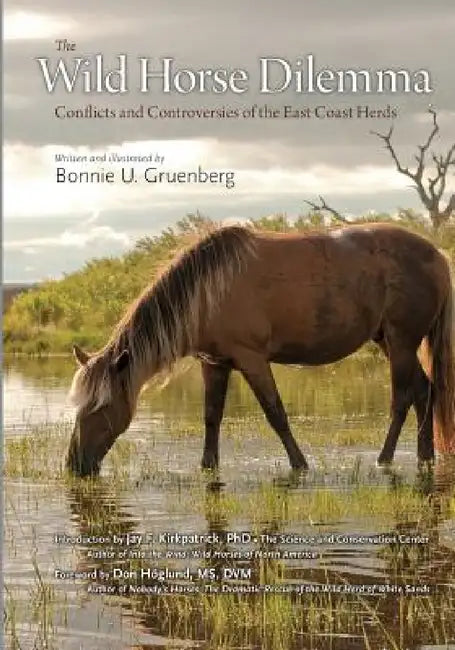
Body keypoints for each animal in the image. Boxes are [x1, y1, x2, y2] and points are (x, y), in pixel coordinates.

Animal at [67, 223, 455, 477]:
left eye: (102, 407)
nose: (74, 464)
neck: (208, 290)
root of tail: (437, 255)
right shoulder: (215, 363)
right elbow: (212, 417)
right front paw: (208, 466)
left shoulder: (252, 359)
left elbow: (276, 413)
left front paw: (299, 464)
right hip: (389, 341)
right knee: (425, 391)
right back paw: (425, 456)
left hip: (401, 340)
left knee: (402, 399)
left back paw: (384, 459)